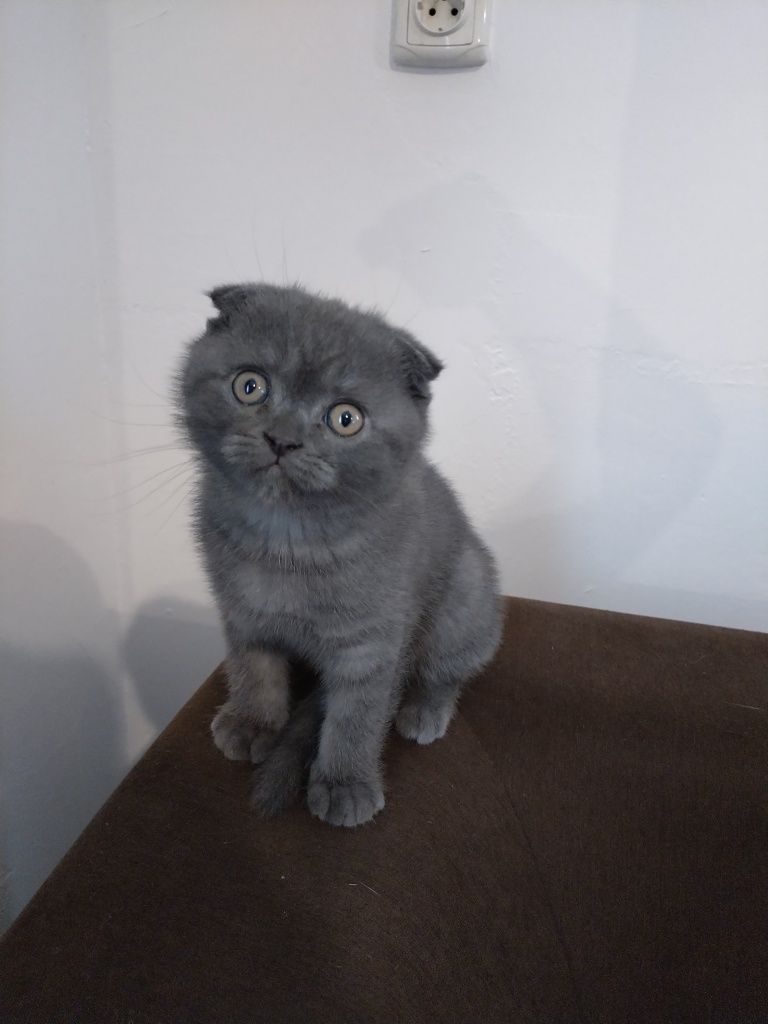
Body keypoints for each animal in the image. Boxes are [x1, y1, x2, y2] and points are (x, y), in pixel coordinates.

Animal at [177, 284, 501, 827]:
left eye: (345, 419)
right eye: (250, 386)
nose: (282, 439)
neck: (285, 541)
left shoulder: (371, 642)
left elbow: (356, 715)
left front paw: (345, 784)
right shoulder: (243, 611)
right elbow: (253, 666)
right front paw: (251, 721)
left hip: (467, 595)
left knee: (448, 669)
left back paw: (425, 711)